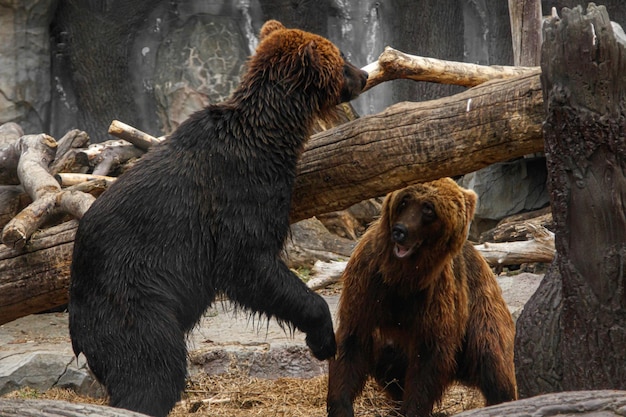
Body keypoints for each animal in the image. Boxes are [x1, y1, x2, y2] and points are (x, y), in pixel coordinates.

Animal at [69, 18, 366, 416]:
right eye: (342, 57)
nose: (364, 75)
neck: (271, 138)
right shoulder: (237, 192)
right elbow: (247, 262)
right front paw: (323, 339)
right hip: (132, 298)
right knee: (151, 367)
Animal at [324, 178, 516, 416]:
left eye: (428, 208)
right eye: (404, 201)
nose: (400, 231)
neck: (403, 276)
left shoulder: (437, 296)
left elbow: (428, 359)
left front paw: (413, 408)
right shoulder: (368, 281)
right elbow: (353, 338)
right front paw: (341, 404)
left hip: (481, 307)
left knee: (492, 357)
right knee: (387, 356)